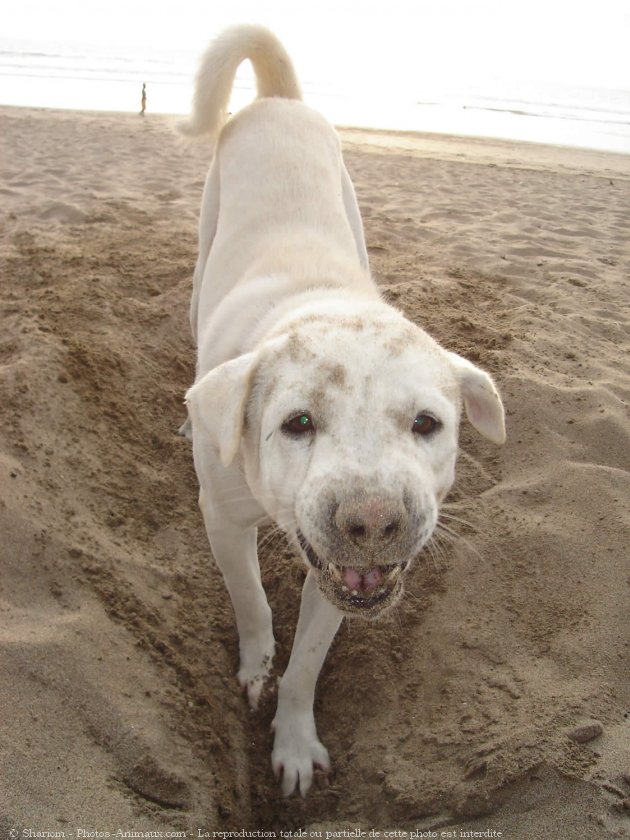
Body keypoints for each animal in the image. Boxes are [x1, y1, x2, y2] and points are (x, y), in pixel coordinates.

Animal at [183, 24, 508, 796]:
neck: (315, 302)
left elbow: (308, 665)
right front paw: (254, 668)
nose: (373, 521)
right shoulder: (222, 516)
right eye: (296, 423)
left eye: (428, 423)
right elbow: (251, 602)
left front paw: (295, 741)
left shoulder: (338, 580)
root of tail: (277, 102)